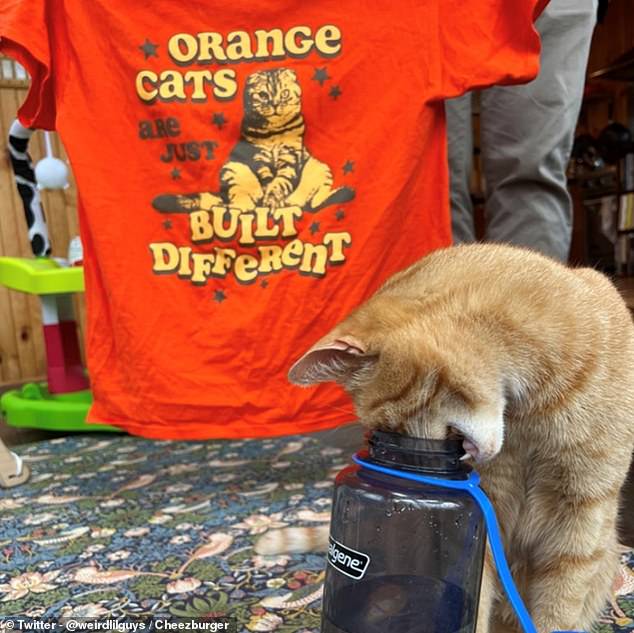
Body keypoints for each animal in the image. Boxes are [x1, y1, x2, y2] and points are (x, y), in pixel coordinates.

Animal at [258, 244, 632, 632]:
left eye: (393, 426)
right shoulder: (484, 525)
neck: (534, 408)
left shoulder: (581, 520)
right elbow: (477, 603)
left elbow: (556, 611)